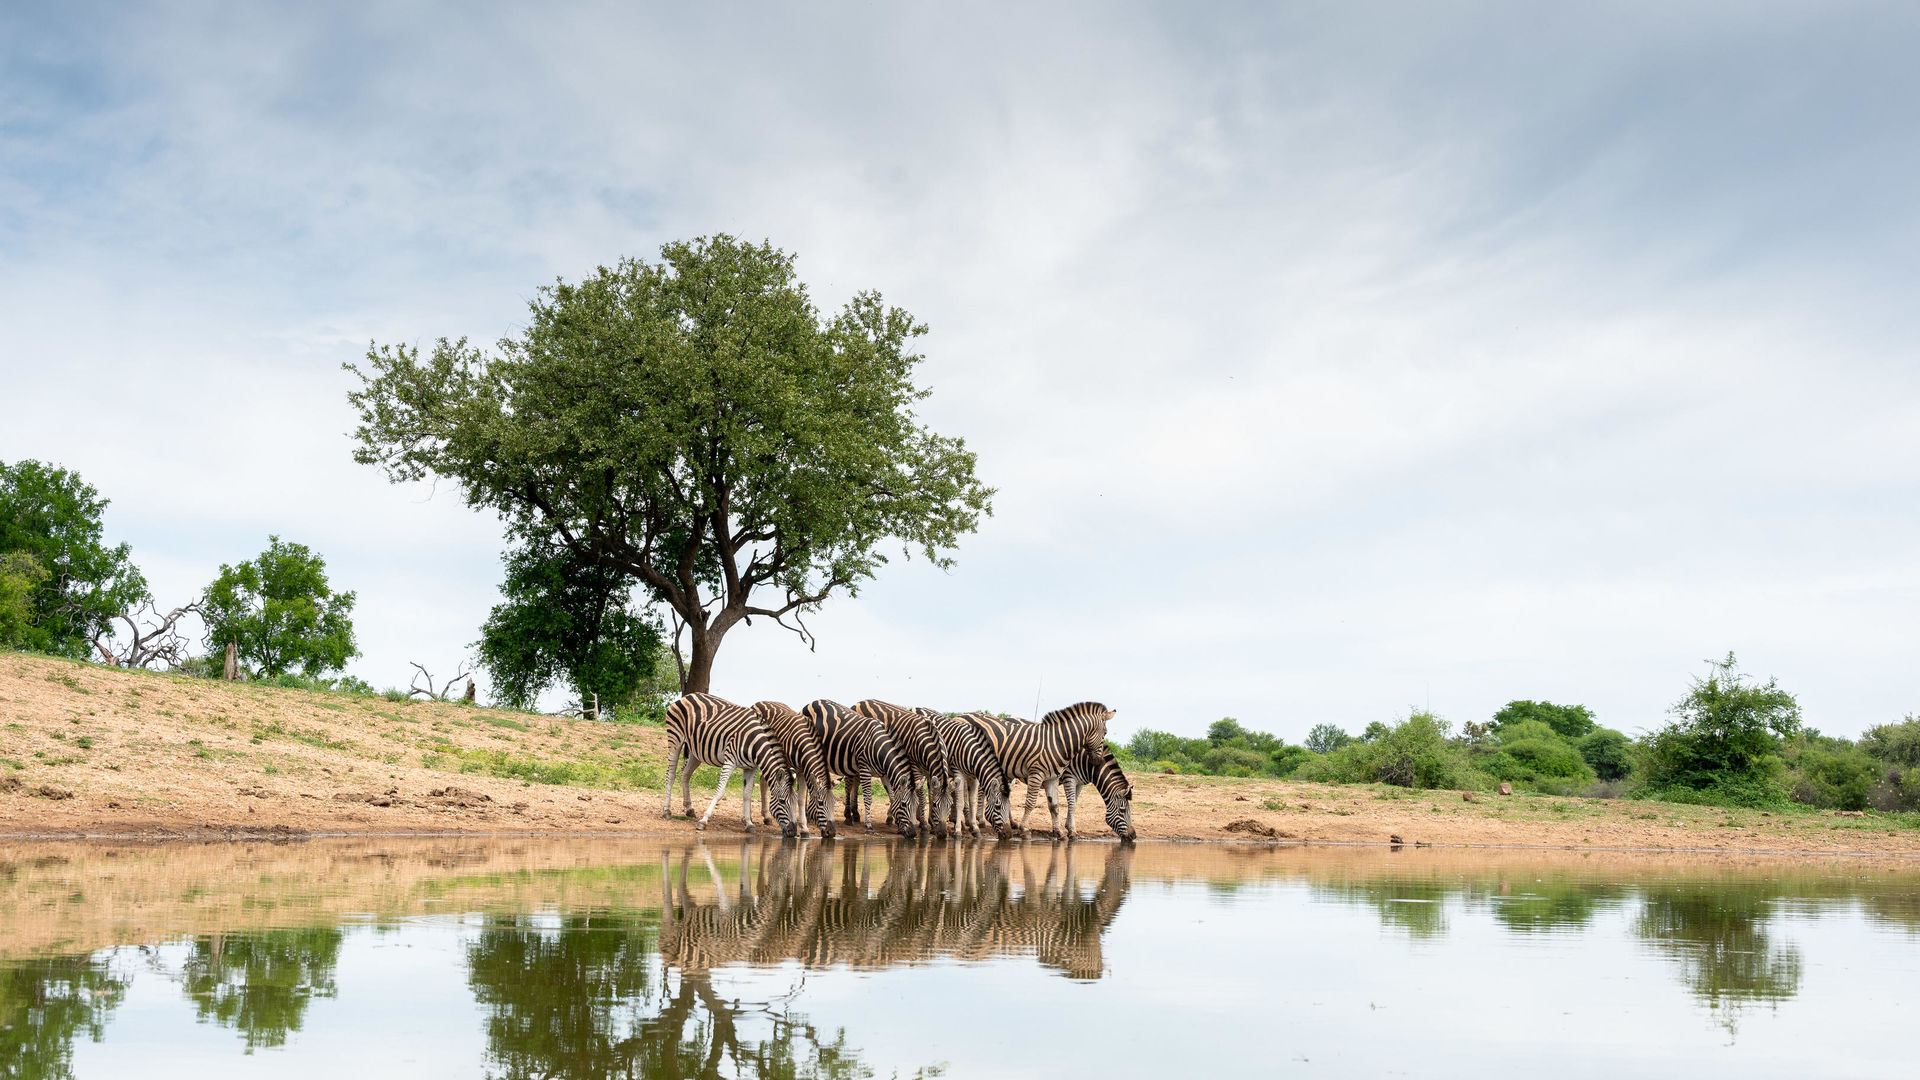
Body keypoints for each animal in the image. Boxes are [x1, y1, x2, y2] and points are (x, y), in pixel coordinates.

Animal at [664, 691, 798, 837]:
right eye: (782, 801)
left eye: (796, 801)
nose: (793, 832)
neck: (755, 744)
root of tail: (689, 695)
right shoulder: (730, 760)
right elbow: (720, 791)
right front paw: (704, 821)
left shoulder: (751, 767)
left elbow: (747, 793)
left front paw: (749, 824)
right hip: (675, 738)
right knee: (670, 774)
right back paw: (666, 811)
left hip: (696, 750)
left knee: (685, 773)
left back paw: (689, 809)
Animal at [752, 691, 837, 837]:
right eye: (820, 803)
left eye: (834, 803)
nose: (831, 833)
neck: (804, 743)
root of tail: (761, 701)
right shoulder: (796, 768)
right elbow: (797, 798)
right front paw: (797, 827)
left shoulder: (803, 770)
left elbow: (801, 799)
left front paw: (804, 829)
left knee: (763, 780)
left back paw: (767, 817)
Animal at [802, 691, 921, 837]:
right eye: (904, 804)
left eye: (916, 805)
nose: (913, 833)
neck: (879, 746)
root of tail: (811, 702)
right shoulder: (865, 768)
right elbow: (868, 797)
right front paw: (869, 826)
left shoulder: (884, 773)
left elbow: (892, 798)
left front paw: (898, 824)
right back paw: (808, 815)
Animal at [856, 691, 952, 837]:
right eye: (936, 805)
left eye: (951, 805)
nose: (942, 834)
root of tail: (860, 702)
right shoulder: (914, 766)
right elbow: (922, 796)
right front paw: (924, 824)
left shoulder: (929, 771)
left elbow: (930, 793)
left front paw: (930, 823)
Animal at [967, 703, 1121, 837]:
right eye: (1105, 732)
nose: (1097, 761)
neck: (1060, 742)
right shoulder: (1063, 776)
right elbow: (1041, 803)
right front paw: (1069, 831)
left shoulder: (1070, 781)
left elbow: (1062, 804)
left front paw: (1064, 829)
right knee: (981, 791)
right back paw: (979, 821)